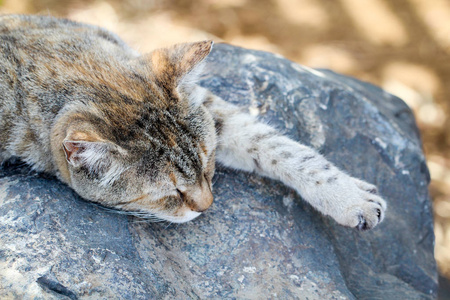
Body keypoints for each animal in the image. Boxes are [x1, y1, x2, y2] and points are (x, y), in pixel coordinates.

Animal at [0, 14, 386, 230]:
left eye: (207, 164)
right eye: (170, 194)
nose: (208, 206)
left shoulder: (208, 106)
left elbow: (274, 143)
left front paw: (348, 196)